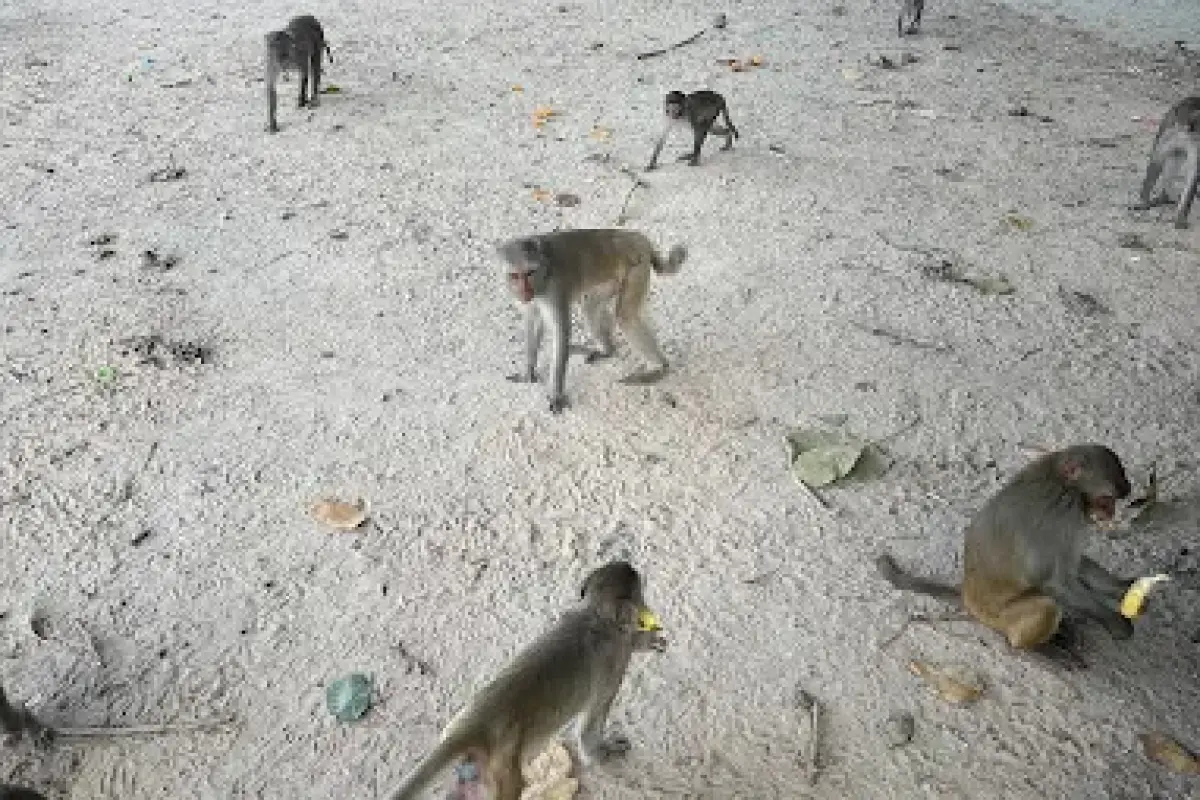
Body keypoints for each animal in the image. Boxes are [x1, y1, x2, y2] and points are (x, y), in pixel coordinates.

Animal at [387, 561, 667, 800]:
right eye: (639, 589)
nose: (630, 564)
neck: (594, 615)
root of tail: (473, 725)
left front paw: (644, 640)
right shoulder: (613, 665)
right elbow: (590, 729)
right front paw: (603, 752)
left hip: (472, 759)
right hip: (503, 766)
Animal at [497, 229, 687, 414]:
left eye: (529, 273)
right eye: (514, 276)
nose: (524, 291)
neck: (543, 274)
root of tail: (640, 238)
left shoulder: (553, 289)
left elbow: (561, 332)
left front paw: (556, 395)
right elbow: (533, 322)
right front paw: (527, 372)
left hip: (637, 267)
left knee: (624, 316)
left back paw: (659, 368)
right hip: (613, 278)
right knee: (589, 306)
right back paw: (606, 351)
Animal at [876, 444, 1137, 660]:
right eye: (1110, 495)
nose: (1111, 512)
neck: (1062, 482)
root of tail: (967, 595)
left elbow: (1075, 564)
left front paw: (1123, 587)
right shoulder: (1064, 513)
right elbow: (1054, 580)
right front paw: (1114, 622)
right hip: (997, 617)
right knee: (1046, 607)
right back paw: (1036, 648)